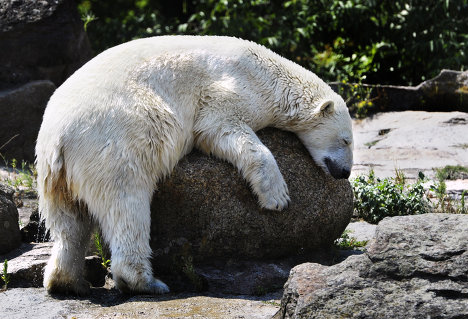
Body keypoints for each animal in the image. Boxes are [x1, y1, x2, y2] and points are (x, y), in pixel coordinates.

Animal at [35, 35, 352, 298]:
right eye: (346, 139)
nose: (345, 172)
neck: (267, 72)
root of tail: (58, 137)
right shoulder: (230, 88)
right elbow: (220, 126)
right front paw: (277, 198)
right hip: (114, 143)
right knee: (127, 202)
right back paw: (147, 282)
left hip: (56, 173)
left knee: (69, 223)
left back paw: (67, 282)